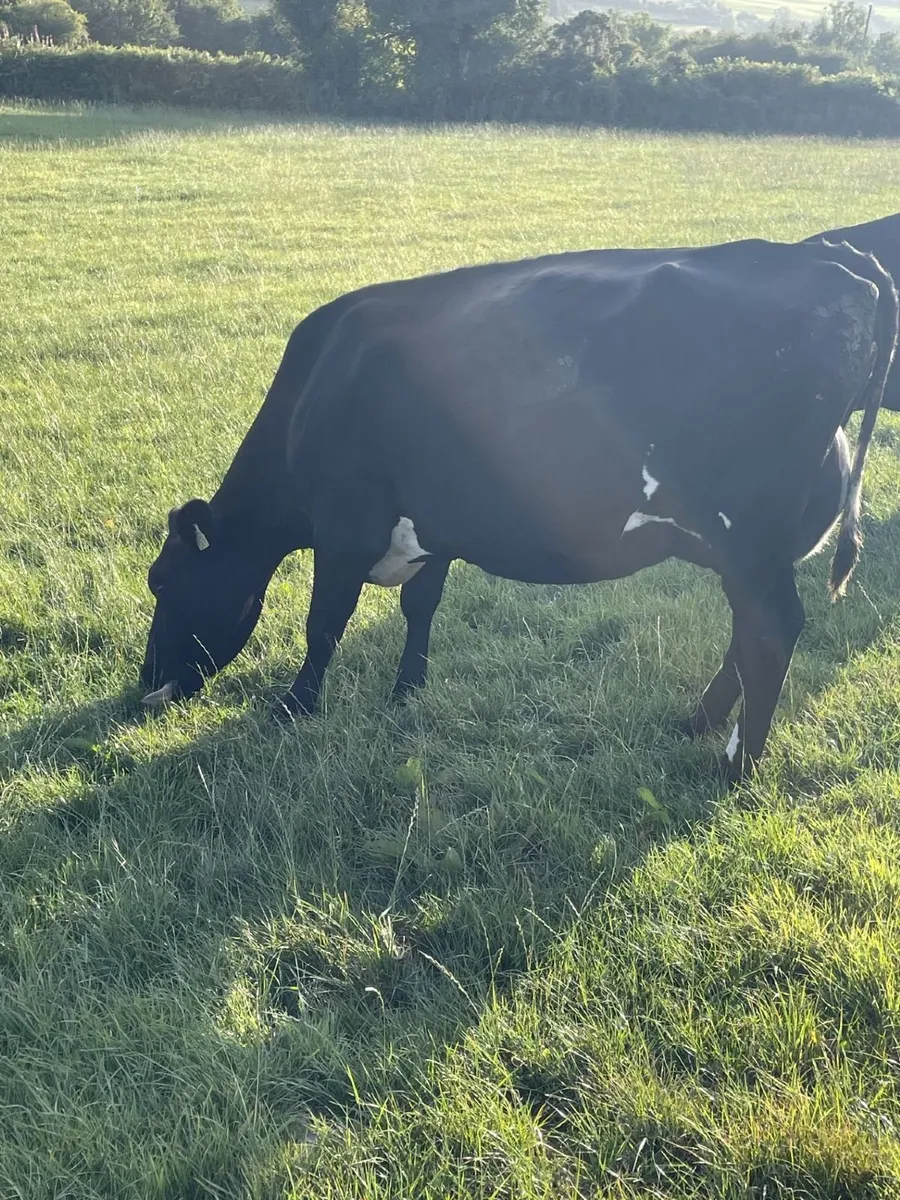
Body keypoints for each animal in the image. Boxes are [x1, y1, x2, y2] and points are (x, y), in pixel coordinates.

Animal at [140, 237, 898, 782]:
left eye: (162, 582)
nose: (142, 691)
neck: (315, 389)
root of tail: (829, 258)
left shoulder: (344, 528)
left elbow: (324, 622)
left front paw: (294, 707)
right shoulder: (433, 528)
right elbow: (421, 606)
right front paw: (407, 690)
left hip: (749, 539)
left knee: (770, 633)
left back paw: (735, 765)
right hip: (751, 549)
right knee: (748, 634)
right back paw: (698, 722)